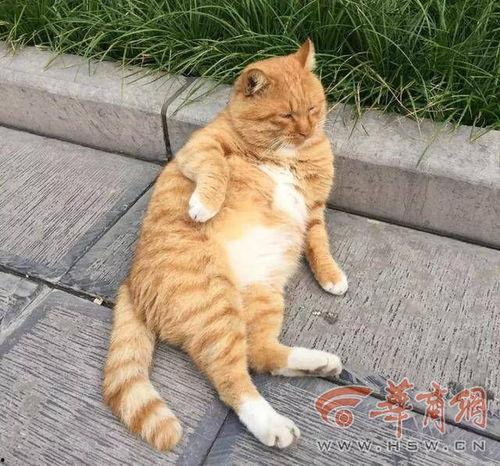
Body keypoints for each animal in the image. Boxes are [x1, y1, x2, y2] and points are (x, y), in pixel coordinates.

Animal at [103, 39, 348, 451]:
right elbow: (216, 167)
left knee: (260, 354)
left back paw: (317, 362)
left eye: (314, 108)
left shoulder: (314, 210)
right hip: (214, 304)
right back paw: (272, 424)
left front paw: (330, 275)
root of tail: (130, 282)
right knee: (232, 378)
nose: (308, 129)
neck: (283, 154)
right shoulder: (199, 149)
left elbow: (318, 243)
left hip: (262, 292)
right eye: (286, 115)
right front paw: (205, 205)